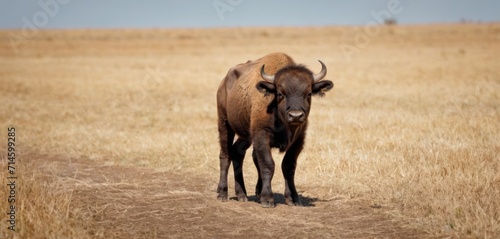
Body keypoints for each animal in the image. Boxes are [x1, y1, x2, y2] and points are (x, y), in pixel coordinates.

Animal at [217, 52, 334, 207]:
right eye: (280, 93)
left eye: (308, 93)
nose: (295, 115)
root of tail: (224, 82)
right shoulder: (261, 135)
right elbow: (268, 164)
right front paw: (267, 199)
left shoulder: (299, 140)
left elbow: (288, 166)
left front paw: (293, 198)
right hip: (224, 124)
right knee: (225, 156)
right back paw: (222, 193)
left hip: (245, 136)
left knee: (237, 153)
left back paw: (242, 194)